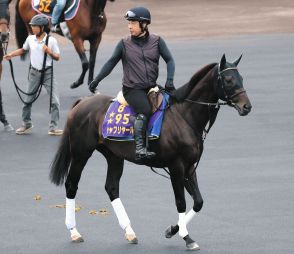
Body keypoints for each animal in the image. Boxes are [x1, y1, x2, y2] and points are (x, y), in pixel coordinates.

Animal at [49, 54, 252, 251]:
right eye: (228, 79)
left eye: (241, 78)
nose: (247, 106)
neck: (184, 115)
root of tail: (82, 102)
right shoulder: (176, 166)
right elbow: (181, 201)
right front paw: (186, 237)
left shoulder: (189, 167)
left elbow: (198, 202)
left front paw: (172, 229)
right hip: (81, 153)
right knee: (71, 185)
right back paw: (74, 232)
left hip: (114, 156)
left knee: (112, 188)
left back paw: (129, 232)